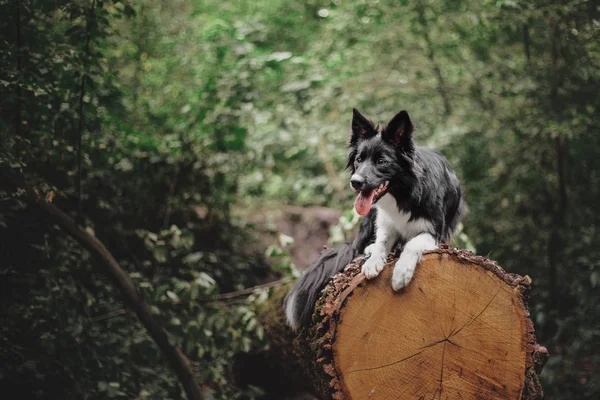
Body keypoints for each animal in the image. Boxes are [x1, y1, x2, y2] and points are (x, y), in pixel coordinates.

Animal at [284, 108, 466, 330]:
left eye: (381, 161)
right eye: (358, 160)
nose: (355, 182)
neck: (404, 194)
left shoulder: (435, 232)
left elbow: (412, 244)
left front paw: (401, 273)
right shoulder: (385, 221)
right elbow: (382, 241)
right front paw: (373, 262)